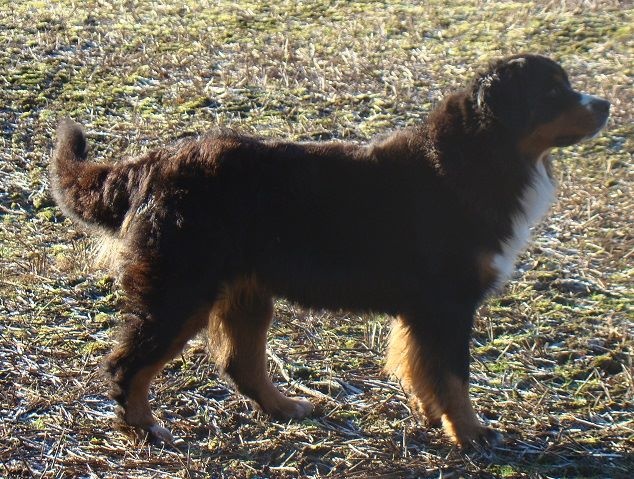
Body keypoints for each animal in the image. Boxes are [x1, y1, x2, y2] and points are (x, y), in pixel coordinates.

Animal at [50, 54, 609, 448]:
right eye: (553, 91)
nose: (604, 104)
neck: (479, 155)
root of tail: (153, 163)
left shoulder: (424, 310)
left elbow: (422, 369)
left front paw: (434, 418)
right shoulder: (447, 304)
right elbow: (454, 376)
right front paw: (472, 434)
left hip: (245, 292)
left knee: (241, 364)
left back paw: (286, 407)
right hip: (181, 292)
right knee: (128, 366)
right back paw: (147, 431)